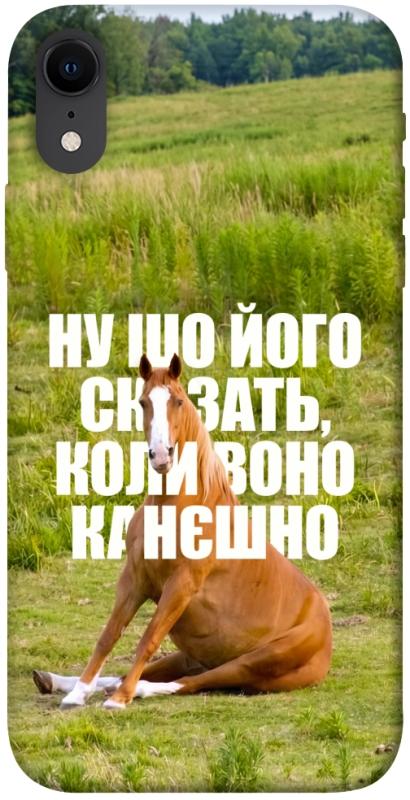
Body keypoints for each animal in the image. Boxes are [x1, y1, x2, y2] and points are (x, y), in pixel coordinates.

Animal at [33, 353, 332, 709]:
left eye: (178, 401)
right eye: (143, 401)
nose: (161, 456)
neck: (178, 508)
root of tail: (325, 633)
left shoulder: (181, 586)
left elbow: (147, 640)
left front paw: (119, 699)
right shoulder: (135, 578)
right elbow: (109, 634)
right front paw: (78, 693)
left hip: (252, 662)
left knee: (194, 682)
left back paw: (132, 690)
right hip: (192, 655)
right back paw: (56, 681)